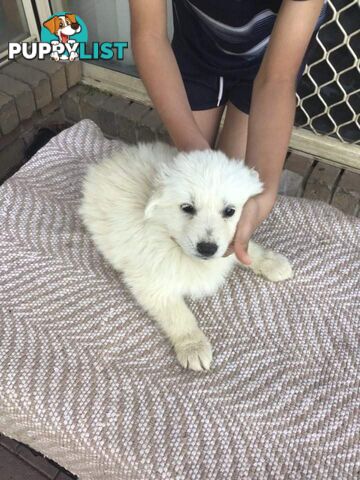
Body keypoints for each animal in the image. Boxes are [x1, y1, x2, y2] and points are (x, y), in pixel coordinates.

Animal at [79, 142, 292, 372]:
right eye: (187, 208)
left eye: (229, 211)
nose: (207, 248)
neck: (171, 238)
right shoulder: (153, 282)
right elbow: (179, 316)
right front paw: (193, 347)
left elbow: (246, 249)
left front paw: (271, 262)